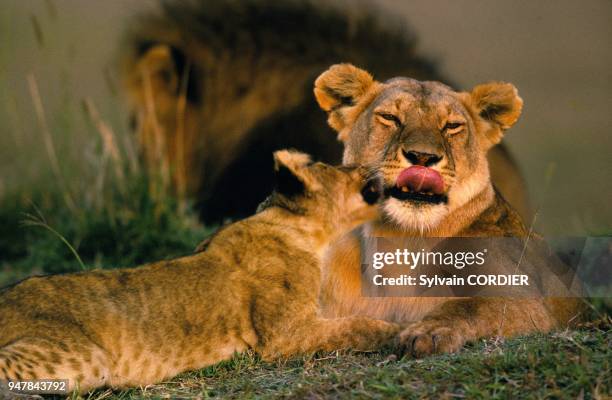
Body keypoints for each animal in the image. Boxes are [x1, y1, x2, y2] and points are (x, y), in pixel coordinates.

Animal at [316, 65, 584, 356]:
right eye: (390, 118)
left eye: (452, 126)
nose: (422, 157)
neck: (399, 239)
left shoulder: (526, 298)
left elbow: (470, 306)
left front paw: (427, 332)